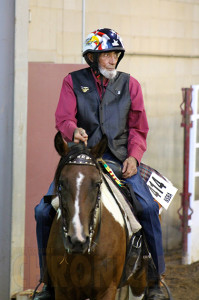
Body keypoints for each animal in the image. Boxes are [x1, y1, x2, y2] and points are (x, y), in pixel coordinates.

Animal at [45, 134, 148, 300]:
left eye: (97, 183)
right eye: (61, 183)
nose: (77, 240)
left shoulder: (107, 290)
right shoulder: (62, 291)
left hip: (139, 279)